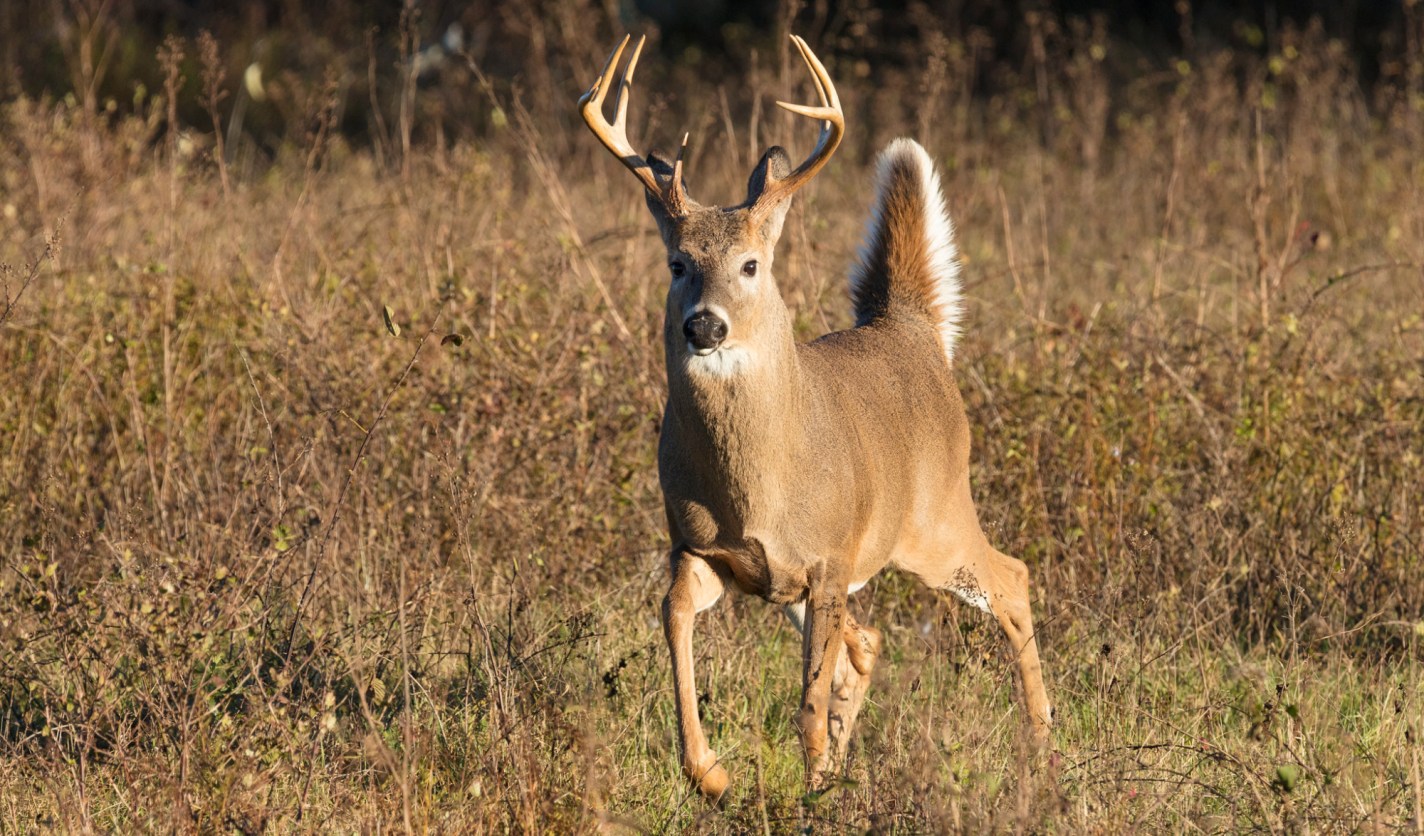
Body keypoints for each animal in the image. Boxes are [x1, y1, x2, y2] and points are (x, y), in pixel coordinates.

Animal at [578, 34, 1053, 800]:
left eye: (751, 264)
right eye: (677, 262)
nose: (703, 325)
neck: (756, 489)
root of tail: (915, 329)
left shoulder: (829, 557)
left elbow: (805, 700)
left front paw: (807, 790)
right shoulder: (703, 550)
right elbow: (675, 617)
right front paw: (712, 774)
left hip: (935, 518)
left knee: (1011, 579)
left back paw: (1042, 747)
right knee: (869, 642)